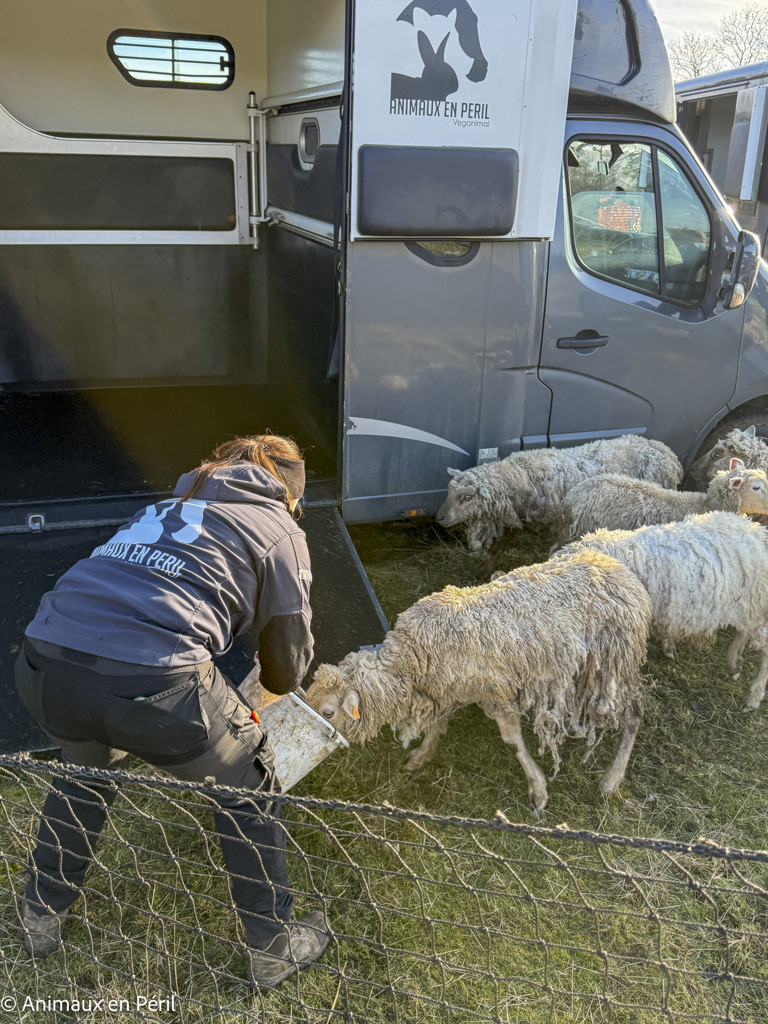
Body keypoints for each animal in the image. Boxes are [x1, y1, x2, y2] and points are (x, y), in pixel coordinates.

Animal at [308, 550, 652, 814]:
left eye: (328, 712)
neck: (413, 656)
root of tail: (623, 573)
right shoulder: (445, 691)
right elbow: (436, 725)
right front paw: (421, 756)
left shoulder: (496, 692)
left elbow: (513, 743)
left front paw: (538, 790)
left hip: (612, 665)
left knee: (634, 713)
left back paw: (611, 780)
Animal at [435, 435, 682, 567]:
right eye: (448, 491)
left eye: (467, 497)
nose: (439, 517)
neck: (524, 475)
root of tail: (666, 452)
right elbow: (500, 545)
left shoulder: (561, 523)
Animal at [555, 511, 768, 712]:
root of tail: (756, 529)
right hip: (747, 607)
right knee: (743, 633)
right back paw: (734, 664)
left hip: (756, 604)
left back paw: (753, 696)